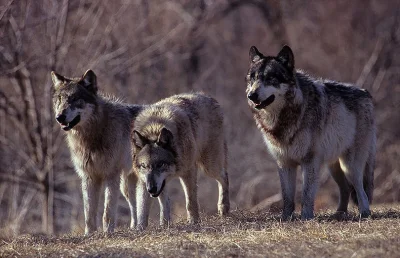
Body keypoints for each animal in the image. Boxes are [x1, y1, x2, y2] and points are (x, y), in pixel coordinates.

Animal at [50, 69, 170, 235]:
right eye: (60, 99)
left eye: (74, 99)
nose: (59, 117)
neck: (93, 135)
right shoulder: (88, 176)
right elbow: (89, 213)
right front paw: (89, 235)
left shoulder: (110, 176)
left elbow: (107, 211)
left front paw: (107, 233)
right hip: (127, 184)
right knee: (134, 205)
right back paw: (135, 227)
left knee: (164, 198)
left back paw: (165, 224)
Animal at [131, 92, 230, 228]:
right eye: (144, 166)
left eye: (160, 164)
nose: (151, 189)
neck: (154, 129)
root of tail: (209, 97)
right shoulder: (143, 181)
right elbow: (142, 210)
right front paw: (140, 229)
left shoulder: (188, 172)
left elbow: (190, 202)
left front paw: (194, 222)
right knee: (165, 201)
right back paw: (164, 224)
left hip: (209, 166)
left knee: (224, 176)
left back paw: (224, 207)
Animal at [245, 45, 376, 219]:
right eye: (253, 78)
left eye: (269, 78)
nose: (251, 95)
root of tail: (365, 93)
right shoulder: (284, 163)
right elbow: (287, 196)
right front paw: (286, 218)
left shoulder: (310, 161)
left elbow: (307, 194)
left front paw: (306, 217)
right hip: (334, 167)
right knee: (346, 188)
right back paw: (339, 214)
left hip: (350, 166)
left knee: (361, 190)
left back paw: (365, 212)